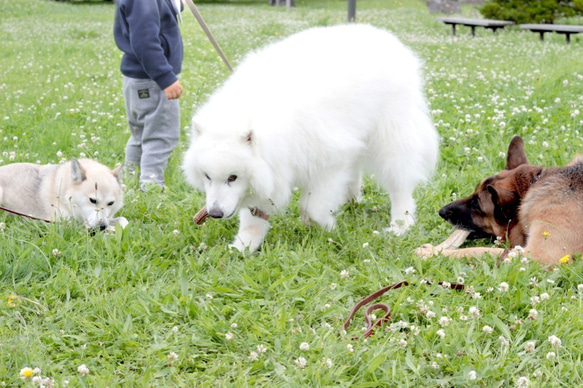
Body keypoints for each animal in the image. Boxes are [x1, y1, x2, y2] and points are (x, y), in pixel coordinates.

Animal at [182, 23, 438, 252]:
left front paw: (329, 227)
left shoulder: (329, 162)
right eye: (207, 176)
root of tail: (389, 39)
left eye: (232, 178)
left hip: (390, 138)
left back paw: (400, 224)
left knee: (400, 184)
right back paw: (352, 199)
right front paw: (243, 246)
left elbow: (311, 207)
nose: (215, 213)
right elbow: (254, 217)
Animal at [420, 136, 583, 266]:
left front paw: (431, 253)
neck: (533, 185)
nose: (441, 212)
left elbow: (478, 251)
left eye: (476, 204)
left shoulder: (540, 255)